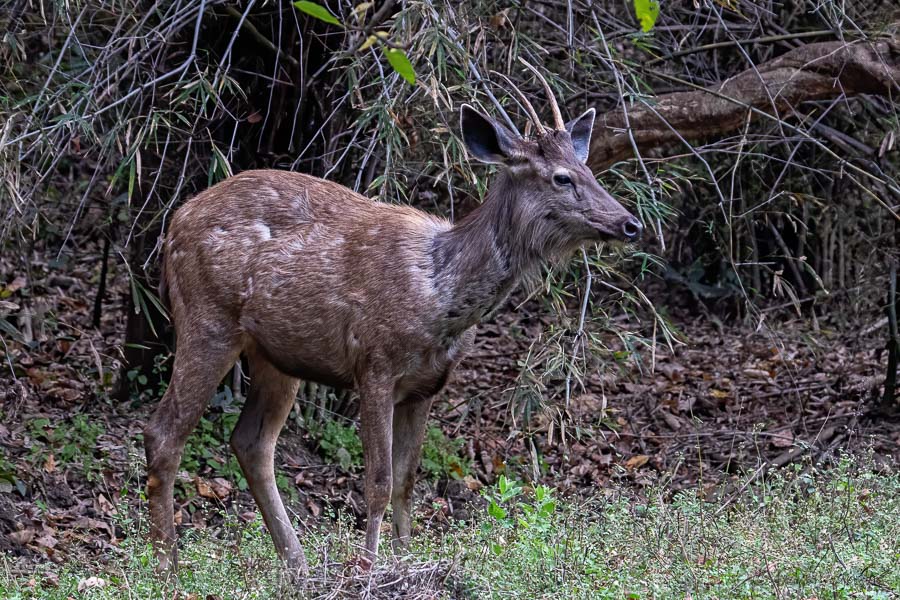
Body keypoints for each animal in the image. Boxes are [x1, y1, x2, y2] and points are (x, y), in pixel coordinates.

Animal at [144, 62, 644, 576]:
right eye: (562, 178)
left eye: (590, 169)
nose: (630, 223)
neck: (441, 300)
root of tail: (173, 225)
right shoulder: (375, 364)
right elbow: (378, 483)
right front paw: (370, 569)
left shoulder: (427, 386)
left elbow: (407, 482)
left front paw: (407, 562)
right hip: (207, 319)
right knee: (164, 434)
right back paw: (168, 568)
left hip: (276, 356)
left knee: (251, 443)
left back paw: (297, 569)